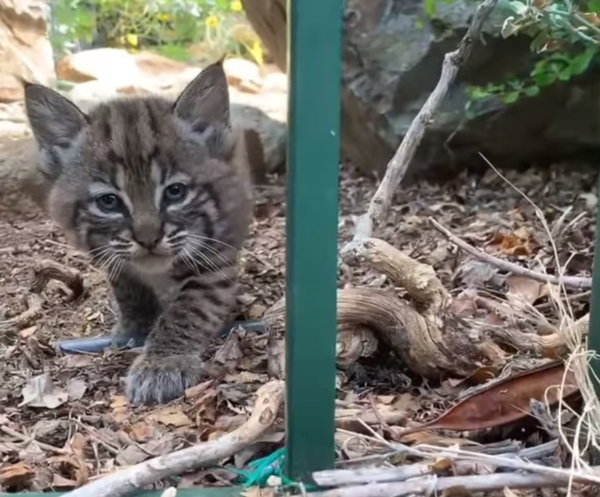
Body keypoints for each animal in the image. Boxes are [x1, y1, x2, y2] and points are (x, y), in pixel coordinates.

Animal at [23, 61, 252, 404]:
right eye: (108, 202)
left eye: (175, 192)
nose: (148, 239)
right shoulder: (113, 257)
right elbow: (129, 290)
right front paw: (132, 330)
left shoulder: (214, 260)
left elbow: (188, 309)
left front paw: (161, 364)